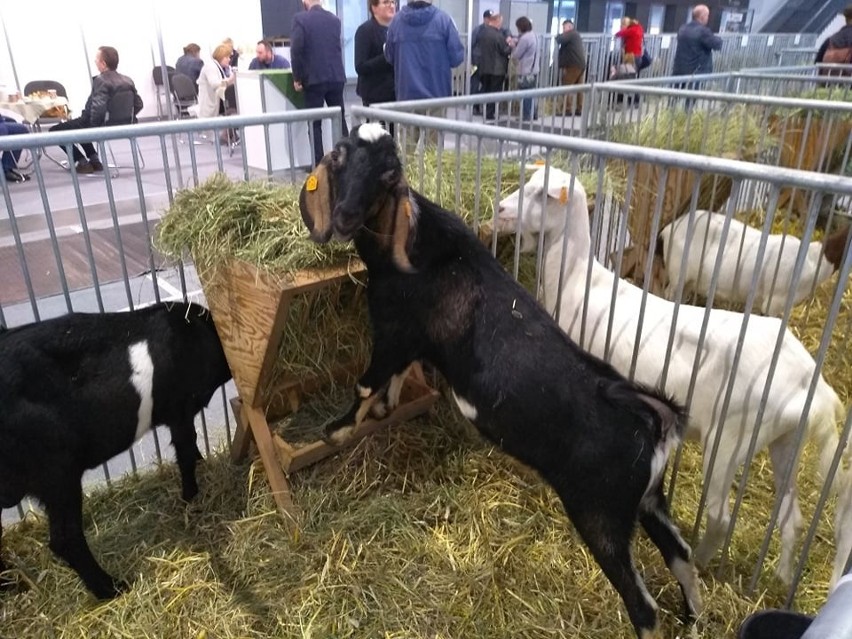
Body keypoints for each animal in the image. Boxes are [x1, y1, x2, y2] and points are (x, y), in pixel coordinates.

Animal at [0, 302, 231, 604]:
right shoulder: (180, 408)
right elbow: (185, 449)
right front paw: (191, 495)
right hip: (56, 471)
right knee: (65, 538)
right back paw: (111, 587)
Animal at [302, 124, 704, 639]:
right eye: (340, 155)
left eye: (387, 173)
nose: (345, 217)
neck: (418, 249)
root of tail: (650, 418)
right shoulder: (412, 342)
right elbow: (396, 377)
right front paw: (387, 407)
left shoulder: (392, 330)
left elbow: (367, 382)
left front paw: (337, 430)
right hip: (648, 500)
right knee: (681, 553)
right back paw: (695, 616)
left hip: (601, 514)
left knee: (644, 607)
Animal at [496, 168, 852, 588]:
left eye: (542, 194)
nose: (500, 209)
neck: (576, 280)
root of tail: (810, 382)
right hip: (784, 441)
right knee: (791, 516)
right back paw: (779, 577)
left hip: (730, 438)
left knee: (720, 516)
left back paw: (700, 561)